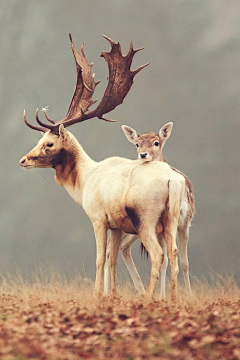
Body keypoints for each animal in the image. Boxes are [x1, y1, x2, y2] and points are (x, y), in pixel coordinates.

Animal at [19, 34, 185, 300]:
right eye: (39, 139)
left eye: (49, 143)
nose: (23, 160)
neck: (84, 181)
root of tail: (173, 181)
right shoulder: (116, 225)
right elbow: (112, 259)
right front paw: (112, 295)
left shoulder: (98, 218)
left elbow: (99, 259)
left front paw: (98, 294)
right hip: (171, 219)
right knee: (174, 255)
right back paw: (172, 299)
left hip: (145, 218)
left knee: (158, 254)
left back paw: (148, 298)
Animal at [105, 122, 195, 300]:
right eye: (137, 144)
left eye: (156, 142)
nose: (143, 154)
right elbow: (167, 260)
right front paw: (163, 297)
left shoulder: (185, 222)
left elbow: (184, 262)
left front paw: (186, 295)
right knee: (110, 249)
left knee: (120, 248)